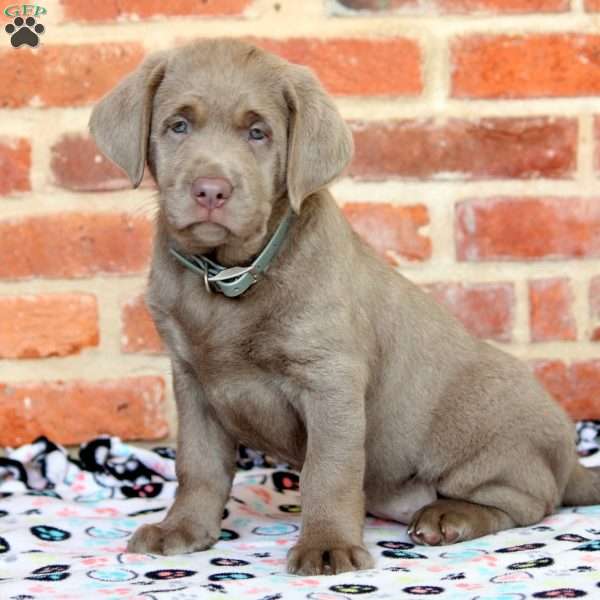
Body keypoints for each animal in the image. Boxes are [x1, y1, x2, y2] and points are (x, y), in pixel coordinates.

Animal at [89, 39, 600, 576]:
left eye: (257, 132)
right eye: (178, 126)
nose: (211, 189)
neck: (228, 278)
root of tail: (570, 457)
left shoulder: (330, 380)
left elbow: (328, 470)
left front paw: (326, 545)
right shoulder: (192, 382)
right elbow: (198, 465)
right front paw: (183, 529)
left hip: (489, 441)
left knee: (530, 501)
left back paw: (449, 517)